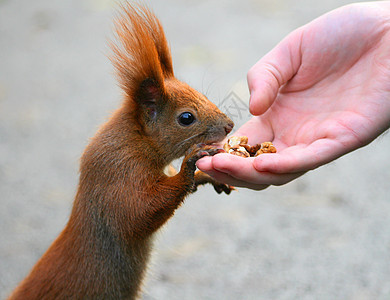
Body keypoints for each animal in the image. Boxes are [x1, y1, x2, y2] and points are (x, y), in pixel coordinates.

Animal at [9, 2, 233, 300]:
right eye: (186, 118)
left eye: (202, 94)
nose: (230, 125)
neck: (138, 140)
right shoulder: (118, 172)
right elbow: (138, 214)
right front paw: (189, 166)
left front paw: (208, 177)